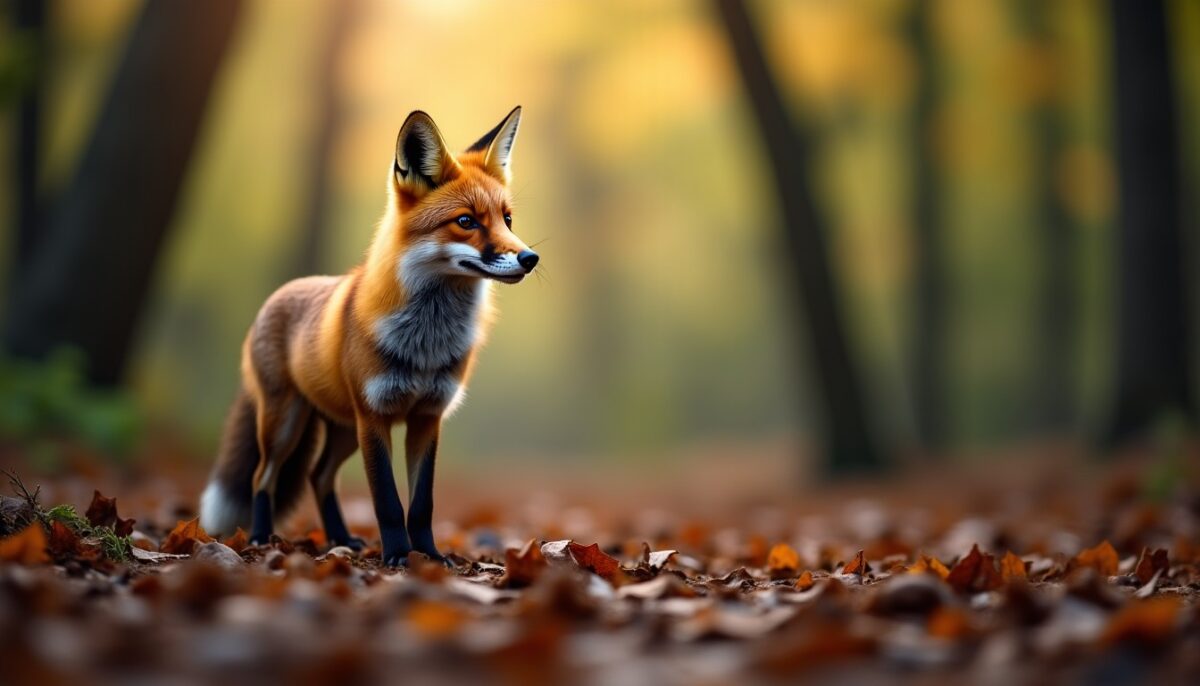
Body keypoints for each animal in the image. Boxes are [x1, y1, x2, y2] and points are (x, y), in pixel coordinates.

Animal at [199, 107, 538, 566]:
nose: (530, 257)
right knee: (262, 477)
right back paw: (260, 535)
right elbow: (388, 501)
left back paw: (341, 537)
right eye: (466, 221)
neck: (427, 342)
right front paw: (397, 555)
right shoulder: (375, 416)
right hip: (287, 423)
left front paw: (429, 555)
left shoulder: (427, 417)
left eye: (507, 219)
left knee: (318, 476)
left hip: (343, 429)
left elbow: (422, 503)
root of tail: (281, 293)